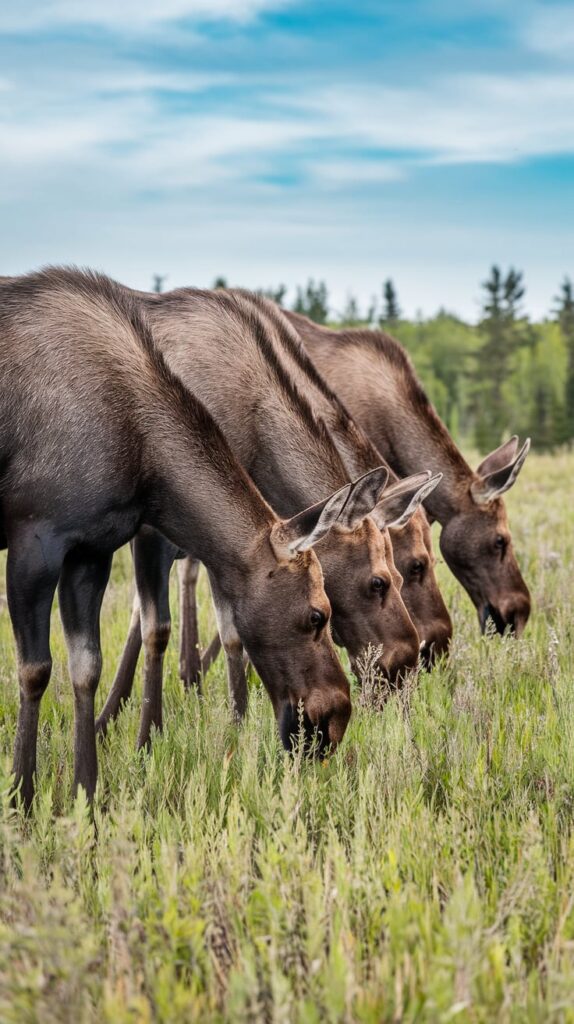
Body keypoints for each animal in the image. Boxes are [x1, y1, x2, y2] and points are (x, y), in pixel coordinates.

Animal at [0, 270, 351, 806]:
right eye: (317, 614)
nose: (336, 718)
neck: (145, 458)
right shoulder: (33, 542)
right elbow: (36, 671)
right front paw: (22, 791)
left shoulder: (91, 551)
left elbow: (86, 667)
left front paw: (86, 791)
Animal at [97, 288, 437, 745]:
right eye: (379, 581)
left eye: (401, 574)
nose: (405, 664)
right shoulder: (167, 528)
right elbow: (160, 623)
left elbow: (227, 631)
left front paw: (233, 723)